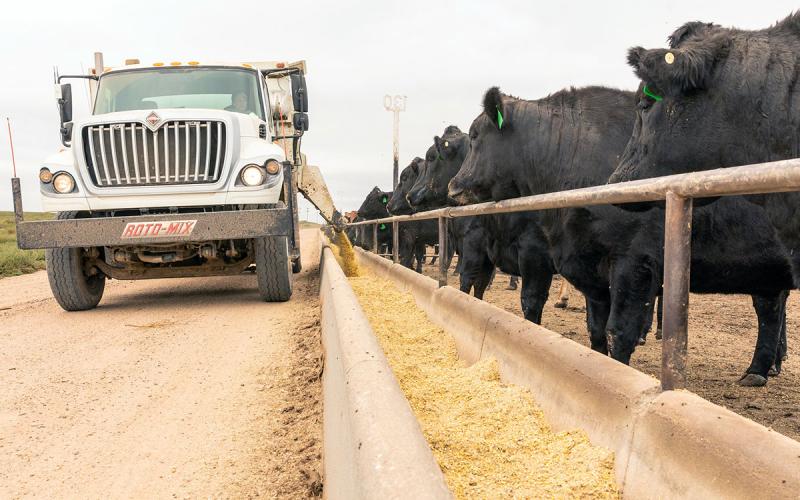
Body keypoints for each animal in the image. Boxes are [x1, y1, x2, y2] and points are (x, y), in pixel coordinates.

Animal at [449, 85, 793, 386]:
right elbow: (596, 329)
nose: (454, 187)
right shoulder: (592, 268)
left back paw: (760, 369)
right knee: (770, 308)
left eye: (476, 137)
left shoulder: (633, 262)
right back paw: (760, 368)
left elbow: (619, 331)